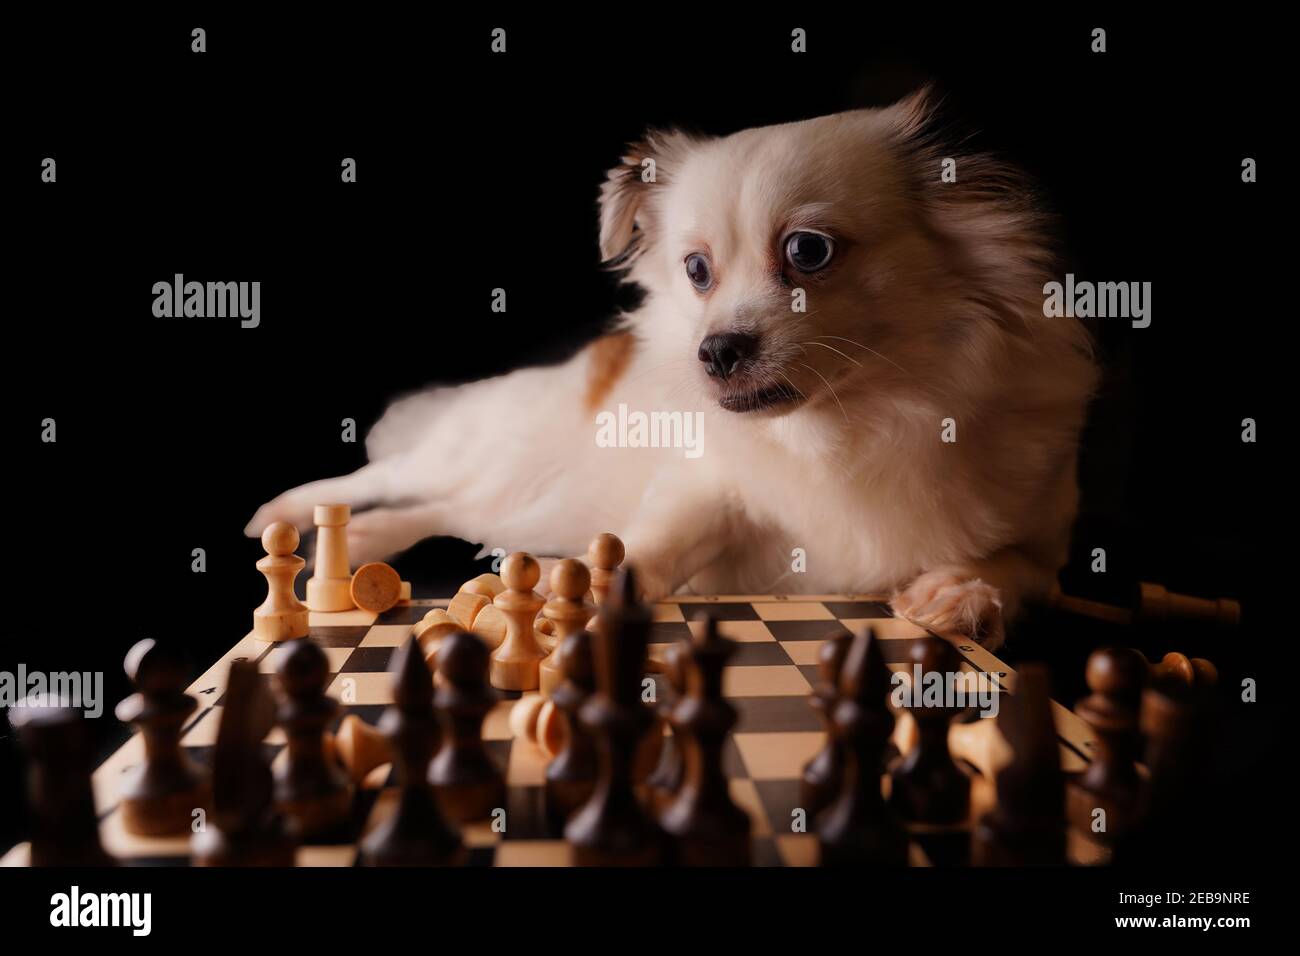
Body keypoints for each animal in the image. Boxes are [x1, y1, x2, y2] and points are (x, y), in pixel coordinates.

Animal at [248, 89, 1092, 650]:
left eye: (808, 251)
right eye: (696, 270)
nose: (713, 351)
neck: (847, 426)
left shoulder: (1047, 550)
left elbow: (1019, 568)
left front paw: (965, 587)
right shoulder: (702, 487)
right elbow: (655, 541)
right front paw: (581, 588)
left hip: (510, 498)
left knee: (438, 512)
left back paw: (364, 542)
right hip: (486, 453)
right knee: (383, 479)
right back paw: (291, 512)